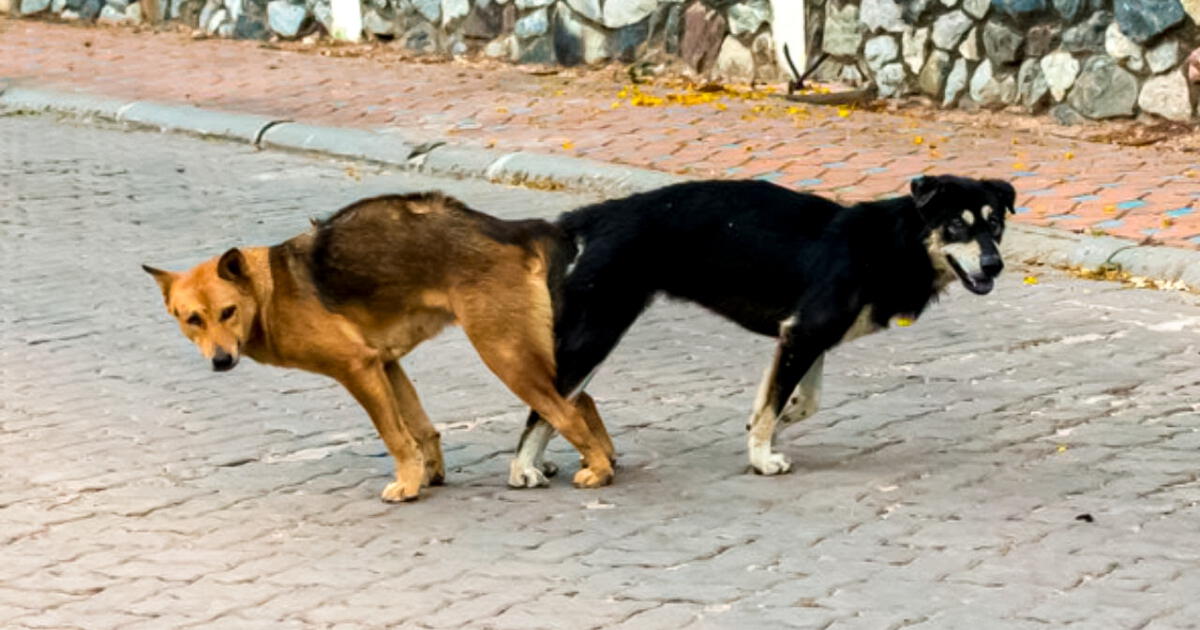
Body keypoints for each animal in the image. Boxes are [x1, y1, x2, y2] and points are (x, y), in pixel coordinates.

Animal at [145, 192, 614, 501]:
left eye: (227, 312)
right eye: (193, 320)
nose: (221, 361)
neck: (270, 292)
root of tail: (517, 228)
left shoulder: (358, 368)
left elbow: (395, 435)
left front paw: (406, 484)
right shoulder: (386, 365)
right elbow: (421, 429)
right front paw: (428, 475)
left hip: (504, 354)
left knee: (566, 409)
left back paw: (599, 468)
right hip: (525, 352)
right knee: (582, 398)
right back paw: (601, 455)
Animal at [506, 174, 1012, 484]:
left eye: (995, 226)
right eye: (956, 224)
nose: (995, 265)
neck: (893, 243)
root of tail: (594, 215)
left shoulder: (807, 337)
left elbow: (799, 401)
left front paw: (768, 428)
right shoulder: (805, 333)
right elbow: (776, 404)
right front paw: (763, 456)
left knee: (552, 402)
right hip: (598, 329)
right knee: (546, 401)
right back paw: (522, 470)